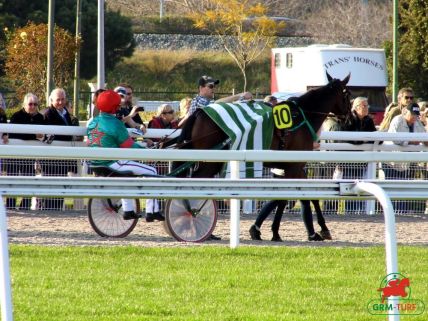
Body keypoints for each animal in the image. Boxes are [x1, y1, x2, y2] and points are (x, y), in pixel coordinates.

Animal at [171, 72, 352, 241]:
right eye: (348, 95)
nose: (349, 119)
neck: (301, 117)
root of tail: (199, 113)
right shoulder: (294, 166)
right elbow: (286, 199)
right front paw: (276, 232)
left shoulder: (295, 166)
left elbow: (306, 197)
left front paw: (319, 229)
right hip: (211, 161)